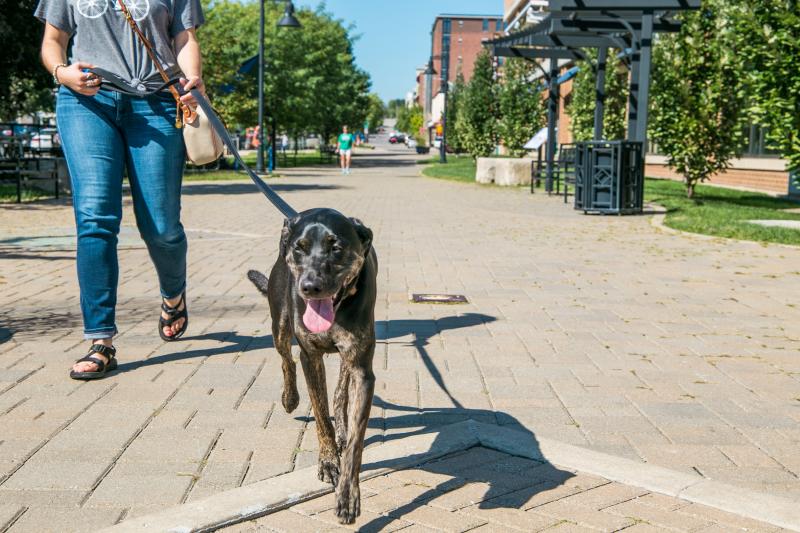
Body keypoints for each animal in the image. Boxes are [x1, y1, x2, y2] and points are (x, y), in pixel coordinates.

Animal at [247, 208, 378, 524]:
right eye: (300, 248)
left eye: (336, 247)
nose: (310, 287)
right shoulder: (310, 356)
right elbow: (320, 415)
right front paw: (329, 463)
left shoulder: (362, 369)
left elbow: (355, 441)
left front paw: (348, 495)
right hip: (280, 325)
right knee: (286, 359)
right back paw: (290, 398)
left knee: (341, 391)